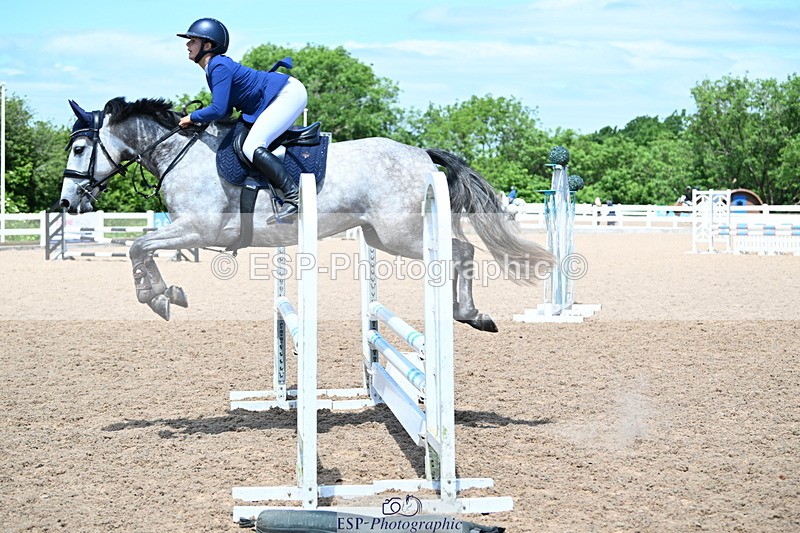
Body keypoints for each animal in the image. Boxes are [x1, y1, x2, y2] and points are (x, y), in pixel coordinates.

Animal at [59, 97, 554, 332]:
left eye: (80, 148)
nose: (67, 203)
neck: (180, 151)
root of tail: (420, 153)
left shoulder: (197, 229)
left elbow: (137, 246)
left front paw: (160, 296)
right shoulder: (187, 231)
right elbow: (138, 248)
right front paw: (162, 294)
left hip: (402, 234)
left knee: (462, 251)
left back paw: (471, 314)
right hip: (382, 236)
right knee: (458, 251)